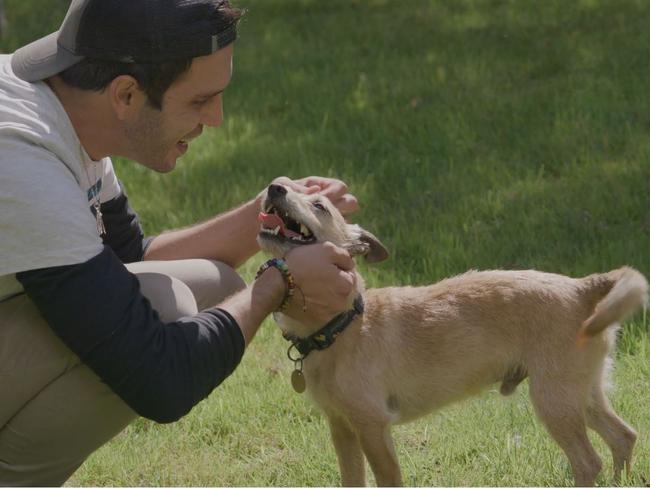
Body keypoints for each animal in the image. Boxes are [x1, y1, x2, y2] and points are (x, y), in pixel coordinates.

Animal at [256, 184, 644, 488]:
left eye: (320, 205)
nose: (274, 187)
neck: (343, 325)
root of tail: (583, 287)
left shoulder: (373, 427)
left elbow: (387, 478)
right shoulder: (342, 428)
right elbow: (352, 479)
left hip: (554, 399)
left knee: (588, 462)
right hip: (582, 393)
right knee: (623, 436)